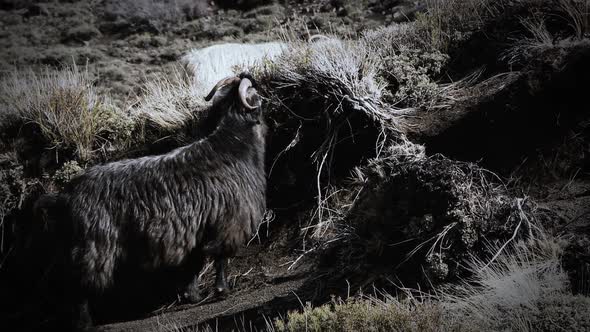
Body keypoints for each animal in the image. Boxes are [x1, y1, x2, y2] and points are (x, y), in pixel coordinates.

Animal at [35, 73, 268, 326]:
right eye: (255, 92)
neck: (232, 144)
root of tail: (65, 196)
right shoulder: (230, 221)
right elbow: (220, 258)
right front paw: (222, 290)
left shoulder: (197, 229)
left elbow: (194, 264)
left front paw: (193, 296)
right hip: (94, 248)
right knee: (78, 290)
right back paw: (86, 322)